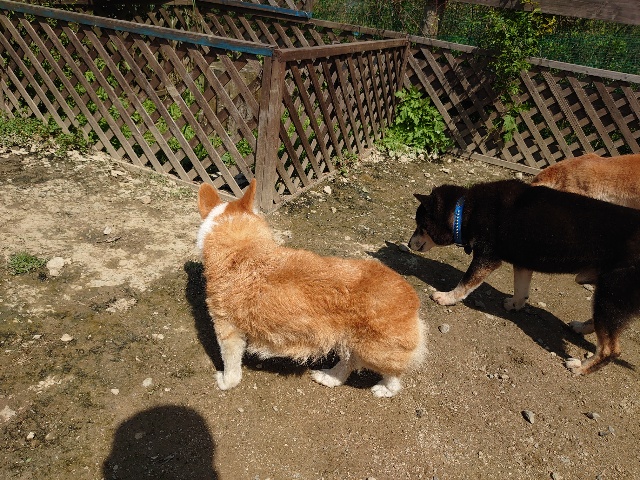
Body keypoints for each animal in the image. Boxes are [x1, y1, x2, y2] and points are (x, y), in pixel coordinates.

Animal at [197, 179, 425, 397]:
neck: (241, 250)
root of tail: (412, 298)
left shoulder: (226, 328)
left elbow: (231, 366)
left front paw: (225, 383)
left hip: (374, 350)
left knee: (393, 375)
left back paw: (385, 390)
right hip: (350, 343)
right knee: (348, 363)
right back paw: (329, 377)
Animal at [408, 179, 640, 374]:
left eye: (420, 226)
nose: (409, 244)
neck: (466, 209)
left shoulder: (487, 257)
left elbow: (466, 282)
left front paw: (447, 297)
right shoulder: (522, 262)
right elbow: (521, 288)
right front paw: (515, 304)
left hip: (612, 293)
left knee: (610, 349)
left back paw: (581, 368)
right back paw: (581, 327)